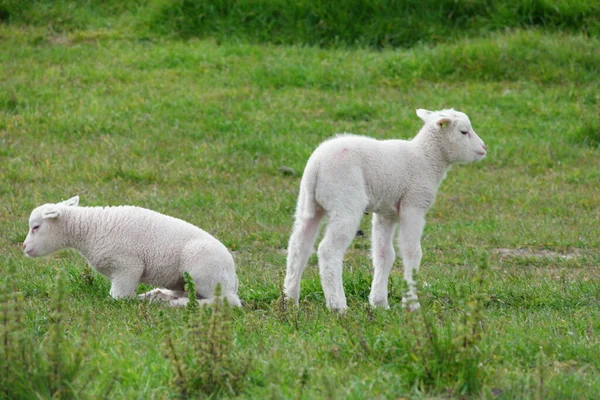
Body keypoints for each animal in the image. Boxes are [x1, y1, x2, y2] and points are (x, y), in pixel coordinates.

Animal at [23, 196, 240, 306]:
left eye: (36, 227)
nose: (24, 247)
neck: (90, 229)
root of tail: (233, 277)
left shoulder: (128, 267)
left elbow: (118, 298)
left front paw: (130, 302)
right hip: (184, 280)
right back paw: (157, 297)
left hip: (205, 274)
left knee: (226, 302)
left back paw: (174, 304)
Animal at [284, 108, 486, 310]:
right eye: (464, 132)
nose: (484, 148)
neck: (426, 158)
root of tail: (316, 166)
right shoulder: (413, 205)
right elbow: (412, 252)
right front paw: (411, 304)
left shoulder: (386, 212)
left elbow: (385, 255)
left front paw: (379, 302)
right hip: (345, 201)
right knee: (328, 250)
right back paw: (338, 305)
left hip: (308, 203)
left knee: (299, 245)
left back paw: (290, 299)